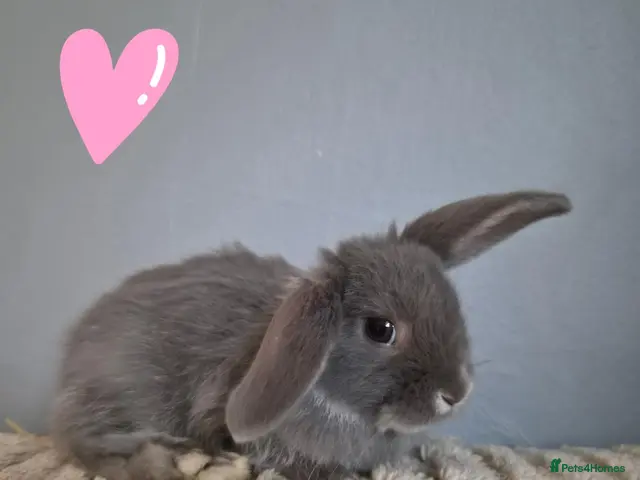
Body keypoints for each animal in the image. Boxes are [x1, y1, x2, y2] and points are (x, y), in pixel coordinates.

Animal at [50, 190, 572, 480]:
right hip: (123, 393)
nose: (456, 393)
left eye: (453, 304)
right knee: (82, 442)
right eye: (381, 329)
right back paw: (162, 459)